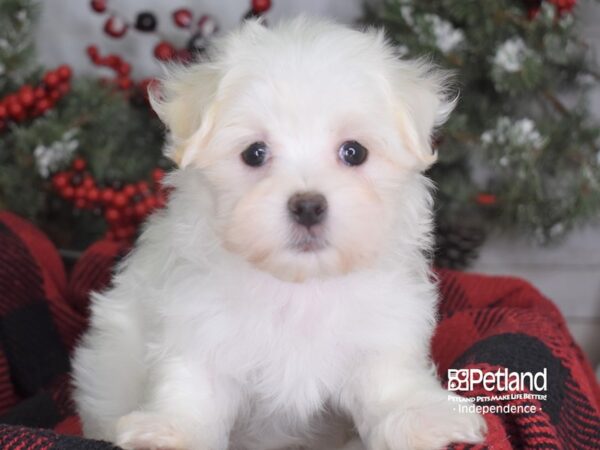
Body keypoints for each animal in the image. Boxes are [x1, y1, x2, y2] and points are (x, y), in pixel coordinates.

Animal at [72, 17, 488, 450]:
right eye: (254, 153)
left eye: (354, 152)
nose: (308, 206)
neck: (298, 286)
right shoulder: (199, 327)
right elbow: (193, 389)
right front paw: (171, 432)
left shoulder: (381, 330)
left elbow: (389, 381)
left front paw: (422, 418)